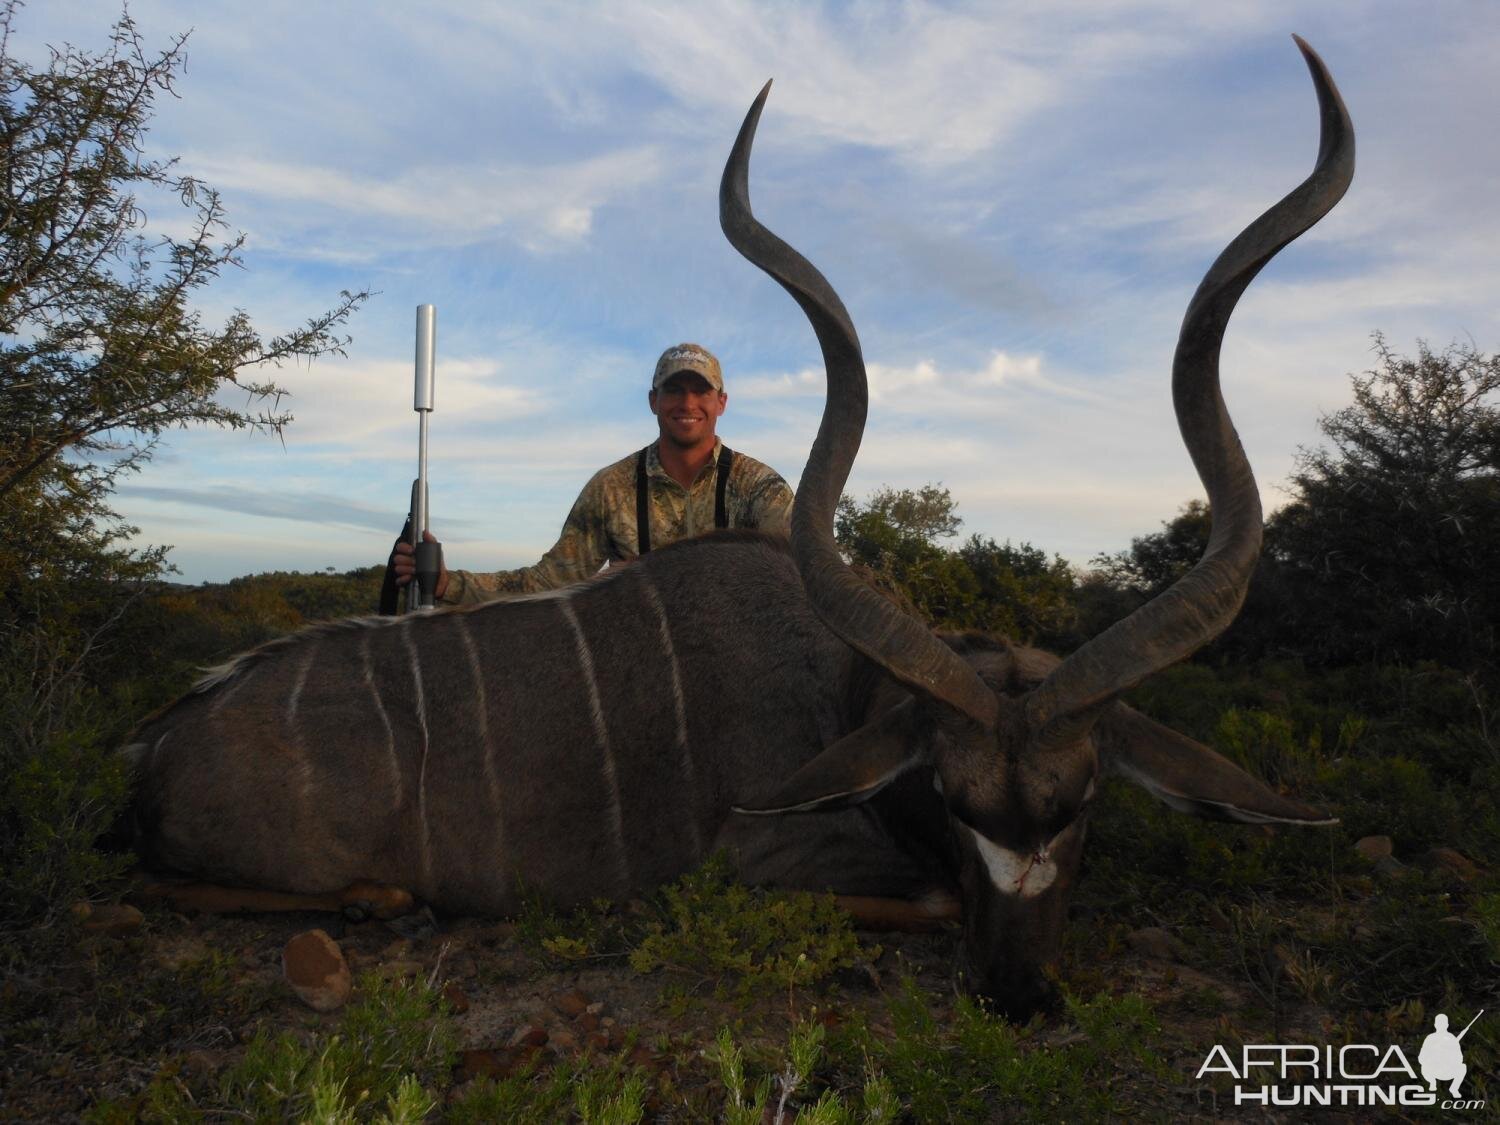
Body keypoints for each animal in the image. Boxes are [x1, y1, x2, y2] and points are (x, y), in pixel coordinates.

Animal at [126, 37, 1350, 1020]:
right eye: (955, 802)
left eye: (1083, 803)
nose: (1018, 995)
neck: (848, 692)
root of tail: (160, 745)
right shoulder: (757, 854)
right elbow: (928, 892)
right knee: (167, 881)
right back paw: (382, 900)